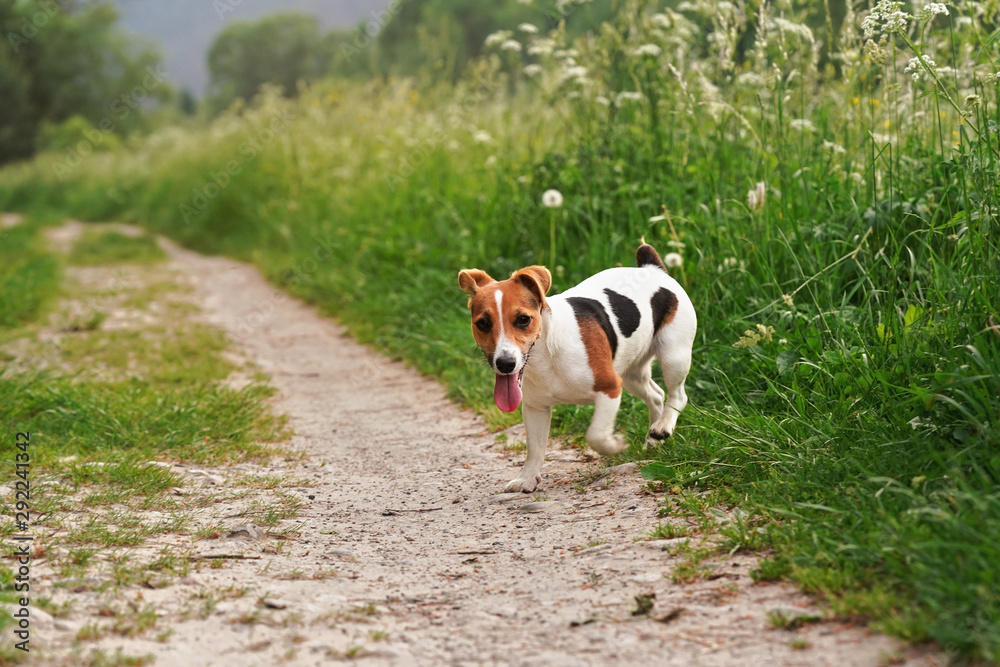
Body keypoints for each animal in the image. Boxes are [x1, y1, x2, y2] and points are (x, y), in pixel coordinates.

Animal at [458, 243, 696, 494]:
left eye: (523, 319)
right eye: (483, 324)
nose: (505, 364)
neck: (546, 355)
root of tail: (652, 268)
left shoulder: (610, 388)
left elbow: (596, 435)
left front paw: (615, 445)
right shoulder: (535, 408)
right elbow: (535, 448)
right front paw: (527, 478)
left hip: (673, 354)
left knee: (678, 396)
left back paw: (663, 427)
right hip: (632, 373)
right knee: (656, 395)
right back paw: (653, 439)